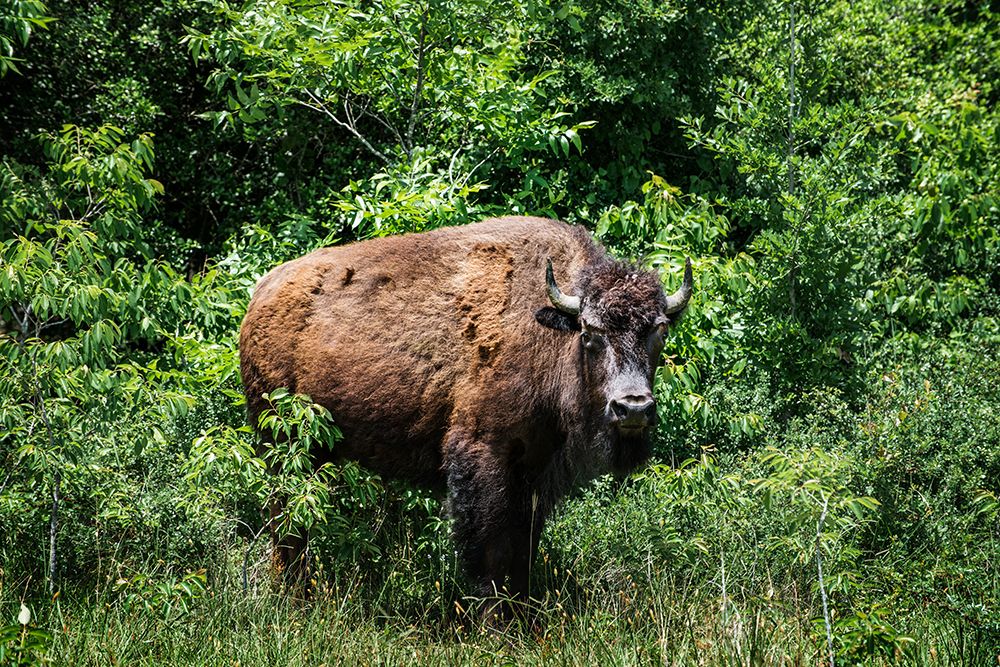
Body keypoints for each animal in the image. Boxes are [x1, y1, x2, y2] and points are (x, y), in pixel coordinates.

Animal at [239, 216, 692, 609]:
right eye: (590, 332)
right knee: (286, 520)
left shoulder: (534, 470)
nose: (632, 407)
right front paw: (492, 624)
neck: (547, 331)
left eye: (659, 329)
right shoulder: (483, 456)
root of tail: (261, 295)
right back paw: (294, 596)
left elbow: (523, 549)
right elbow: (489, 548)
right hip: (280, 442)